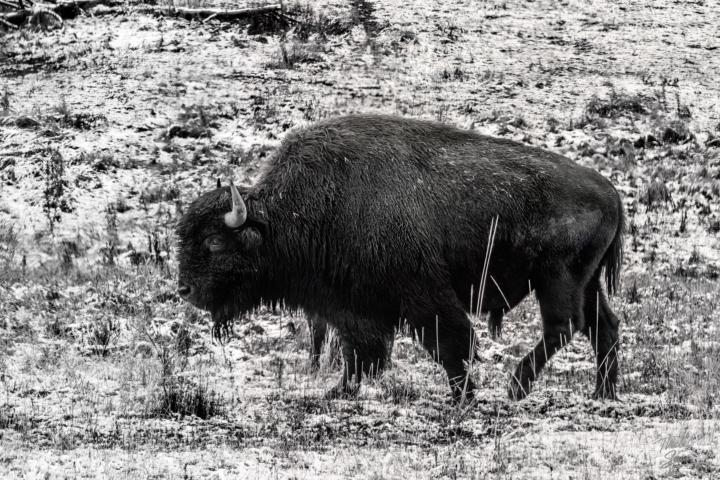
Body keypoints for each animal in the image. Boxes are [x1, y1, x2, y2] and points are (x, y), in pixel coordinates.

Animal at [176, 114, 623, 402]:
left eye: (214, 242)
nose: (185, 289)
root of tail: (611, 191)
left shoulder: (424, 296)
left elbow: (451, 342)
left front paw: (462, 397)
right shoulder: (350, 306)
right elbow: (359, 352)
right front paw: (338, 390)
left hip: (557, 280)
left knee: (564, 327)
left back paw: (517, 387)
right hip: (587, 283)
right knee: (603, 327)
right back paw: (602, 393)